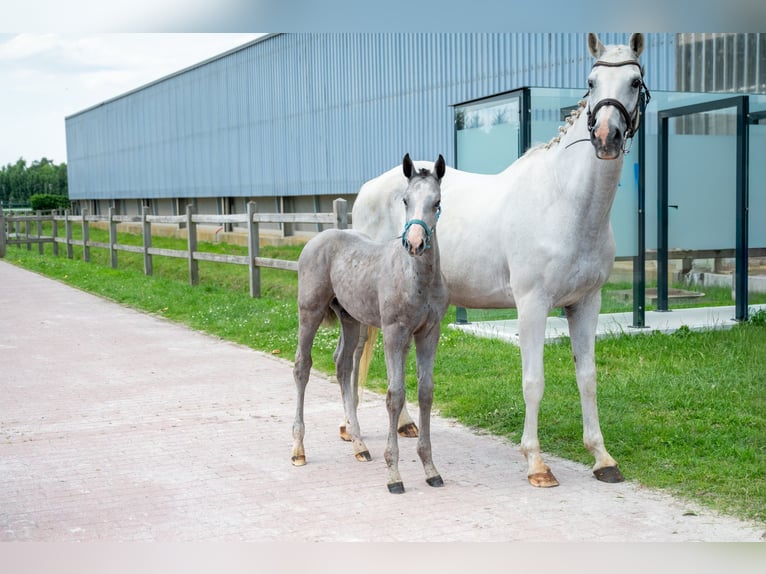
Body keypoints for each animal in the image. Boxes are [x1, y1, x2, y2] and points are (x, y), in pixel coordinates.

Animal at [291, 153, 449, 494]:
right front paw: (394, 475)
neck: (417, 278)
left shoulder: (429, 333)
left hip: (350, 318)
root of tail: (319, 237)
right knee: (302, 367)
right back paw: (298, 449)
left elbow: (425, 392)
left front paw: (430, 469)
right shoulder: (394, 332)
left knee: (342, 365)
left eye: (437, 202)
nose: (414, 243)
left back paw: (359, 444)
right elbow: (395, 395)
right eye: (405, 200)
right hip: (309, 312)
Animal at [350, 33, 651, 488]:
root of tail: (367, 188)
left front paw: (602, 457)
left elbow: (588, 378)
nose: (606, 136)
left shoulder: (586, 303)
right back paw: (354, 437)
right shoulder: (532, 304)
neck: (565, 201)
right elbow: (533, 381)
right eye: (591, 81)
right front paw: (536, 463)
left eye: (634, 81)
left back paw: (403, 425)